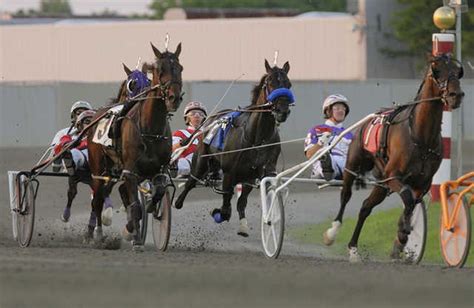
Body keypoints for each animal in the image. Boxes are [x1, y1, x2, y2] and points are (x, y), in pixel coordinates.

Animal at [87, 42, 183, 248]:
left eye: (180, 68)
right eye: (159, 69)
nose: (174, 97)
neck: (150, 129)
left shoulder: (159, 169)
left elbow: (157, 193)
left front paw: (151, 209)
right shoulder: (130, 170)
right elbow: (135, 206)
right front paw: (135, 236)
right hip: (98, 169)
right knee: (97, 200)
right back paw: (96, 235)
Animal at [174, 60, 292, 238]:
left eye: (288, 84)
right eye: (270, 83)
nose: (282, 110)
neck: (257, 138)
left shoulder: (252, 175)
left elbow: (241, 202)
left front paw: (243, 225)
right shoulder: (230, 173)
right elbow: (225, 207)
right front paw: (218, 212)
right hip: (200, 161)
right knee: (190, 182)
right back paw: (177, 201)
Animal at [322, 53, 462, 262]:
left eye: (457, 71)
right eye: (437, 70)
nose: (456, 95)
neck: (420, 136)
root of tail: (366, 122)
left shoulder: (423, 183)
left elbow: (412, 203)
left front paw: (401, 240)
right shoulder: (394, 176)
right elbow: (407, 199)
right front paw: (402, 235)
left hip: (382, 182)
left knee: (365, 207)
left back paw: (353, 248)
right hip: (354, 166)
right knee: (345, 195)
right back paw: (333, 232)